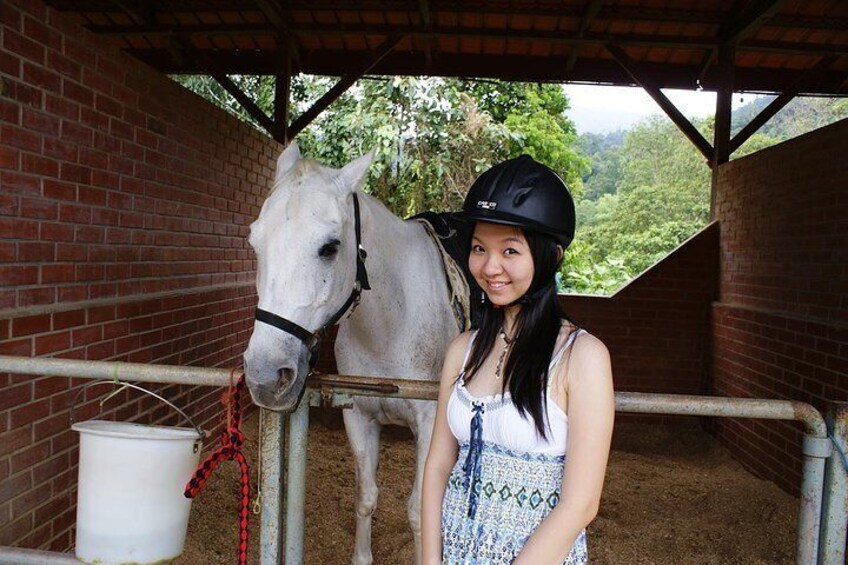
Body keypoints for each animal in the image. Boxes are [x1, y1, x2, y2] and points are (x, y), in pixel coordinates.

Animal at [242, 143, 460, 560]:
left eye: (330, 247)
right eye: (255, 243)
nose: (265, 375)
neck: (390, 325)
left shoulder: (429, 424)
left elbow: (418, 512)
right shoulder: (358, 416)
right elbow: (366, 497)